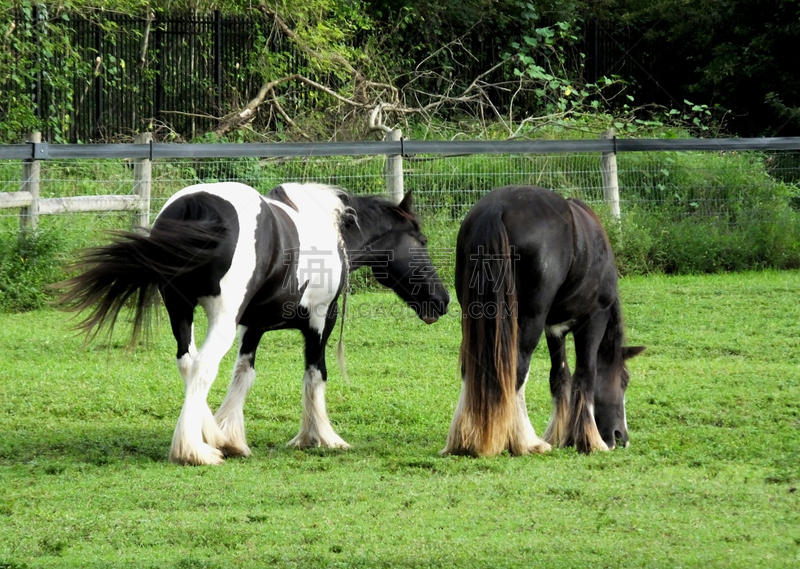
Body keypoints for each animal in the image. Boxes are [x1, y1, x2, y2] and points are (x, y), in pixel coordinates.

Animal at [57, 182, 450, 466]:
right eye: (422, 241)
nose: (442, 300)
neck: (335, 232)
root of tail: (194, 208)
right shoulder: (321, 319)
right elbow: (315, 375)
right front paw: (320, 437)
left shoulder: (254, 327)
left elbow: (243, 375)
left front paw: (229, 436)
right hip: (221, 319)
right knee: (203, 367)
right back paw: (194, 451)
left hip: (180, 311)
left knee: (187, 363)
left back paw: (207, 437)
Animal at [440, 186, 648, 458]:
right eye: (624, 380)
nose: (620, 437)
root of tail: (496, 208)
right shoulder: (594, 319)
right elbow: (585, 374)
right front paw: (590, 441)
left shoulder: (554, 329)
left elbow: (560, 375)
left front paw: (562, 435)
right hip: (530, 319)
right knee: (517, 369)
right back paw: (524, 442)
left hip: (476, 317)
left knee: (471, 368)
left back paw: (464, 440)